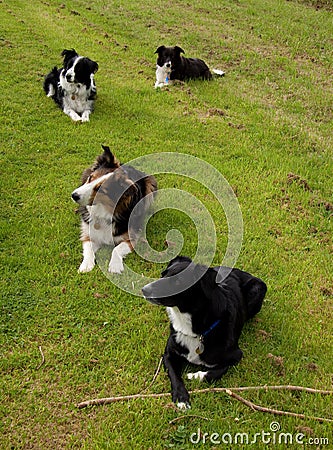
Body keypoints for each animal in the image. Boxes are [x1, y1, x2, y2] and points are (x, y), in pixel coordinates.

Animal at [141, 256, 266, 408]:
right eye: (162, 274)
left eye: (177, 281)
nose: (143, 290)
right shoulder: (168, 354)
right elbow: (174, 375)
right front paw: (181, 397)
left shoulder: (236, 355)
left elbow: (218, 370)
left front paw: (196, 376)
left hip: (258, 288)